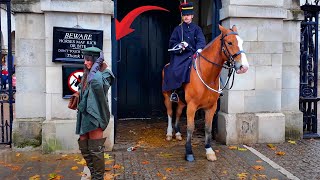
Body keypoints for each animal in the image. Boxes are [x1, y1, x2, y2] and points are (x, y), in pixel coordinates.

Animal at [161, 24, 249, 161]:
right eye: (229, 42)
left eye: (242, 42)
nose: (244, 67)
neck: (208, 75)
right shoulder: (192, 106)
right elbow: (190, 128)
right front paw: (189, 152)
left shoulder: (211, 107)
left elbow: (208, 128)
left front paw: (209, 150)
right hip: (167, 97)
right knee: (170, 113)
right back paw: (170, 133)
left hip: (182, 102)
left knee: (178, 113)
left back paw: (178, 133)